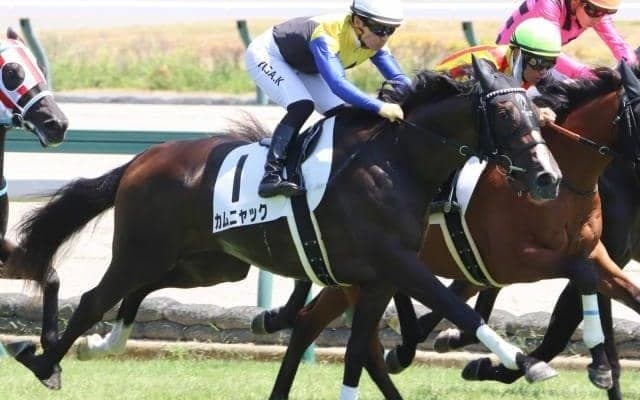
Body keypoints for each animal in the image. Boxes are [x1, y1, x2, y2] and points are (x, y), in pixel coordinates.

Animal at [5, 58, 562, 398]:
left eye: (538, 114)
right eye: (506, 111)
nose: (548, 177)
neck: (397, 161)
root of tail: (142, 160)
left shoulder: (377, 279)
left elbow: (361, 353)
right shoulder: (397, 264)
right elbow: (452, 307)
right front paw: (528, 362)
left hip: (209, 263)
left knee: (139, 291)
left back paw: (104, 343)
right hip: (140, 251)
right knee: (94, 299)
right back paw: (46, 363)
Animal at [236, 62, 640, 398]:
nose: (547, 179)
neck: (570, 183)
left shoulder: (598, 253)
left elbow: (615, 292)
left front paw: (600, 368)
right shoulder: (513, 260)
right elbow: (576, 287)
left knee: (317, 327)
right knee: (349, 338)